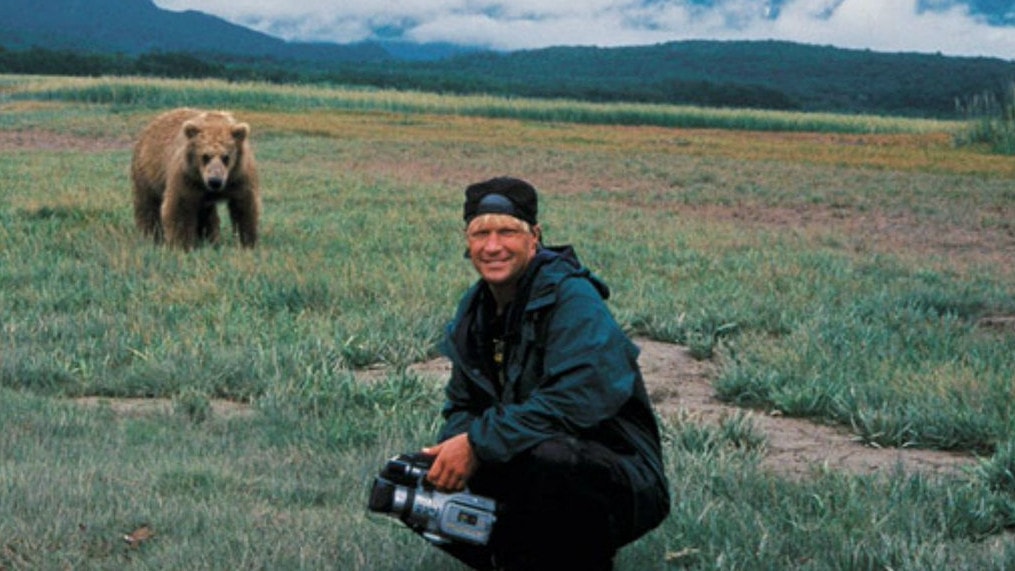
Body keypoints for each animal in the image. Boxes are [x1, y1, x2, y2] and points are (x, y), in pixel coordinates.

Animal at [130, 108, 263, 249]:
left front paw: (247, 242)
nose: (215, 181)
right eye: (205, 156)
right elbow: (180, 208)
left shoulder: (240, 176)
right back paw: (152, 236)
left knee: (206, 214)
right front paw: (181, 244)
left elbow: (245, 207)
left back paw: (209, 239)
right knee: (148, 205)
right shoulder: (187, 177)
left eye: (226, 157)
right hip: (147, 173)